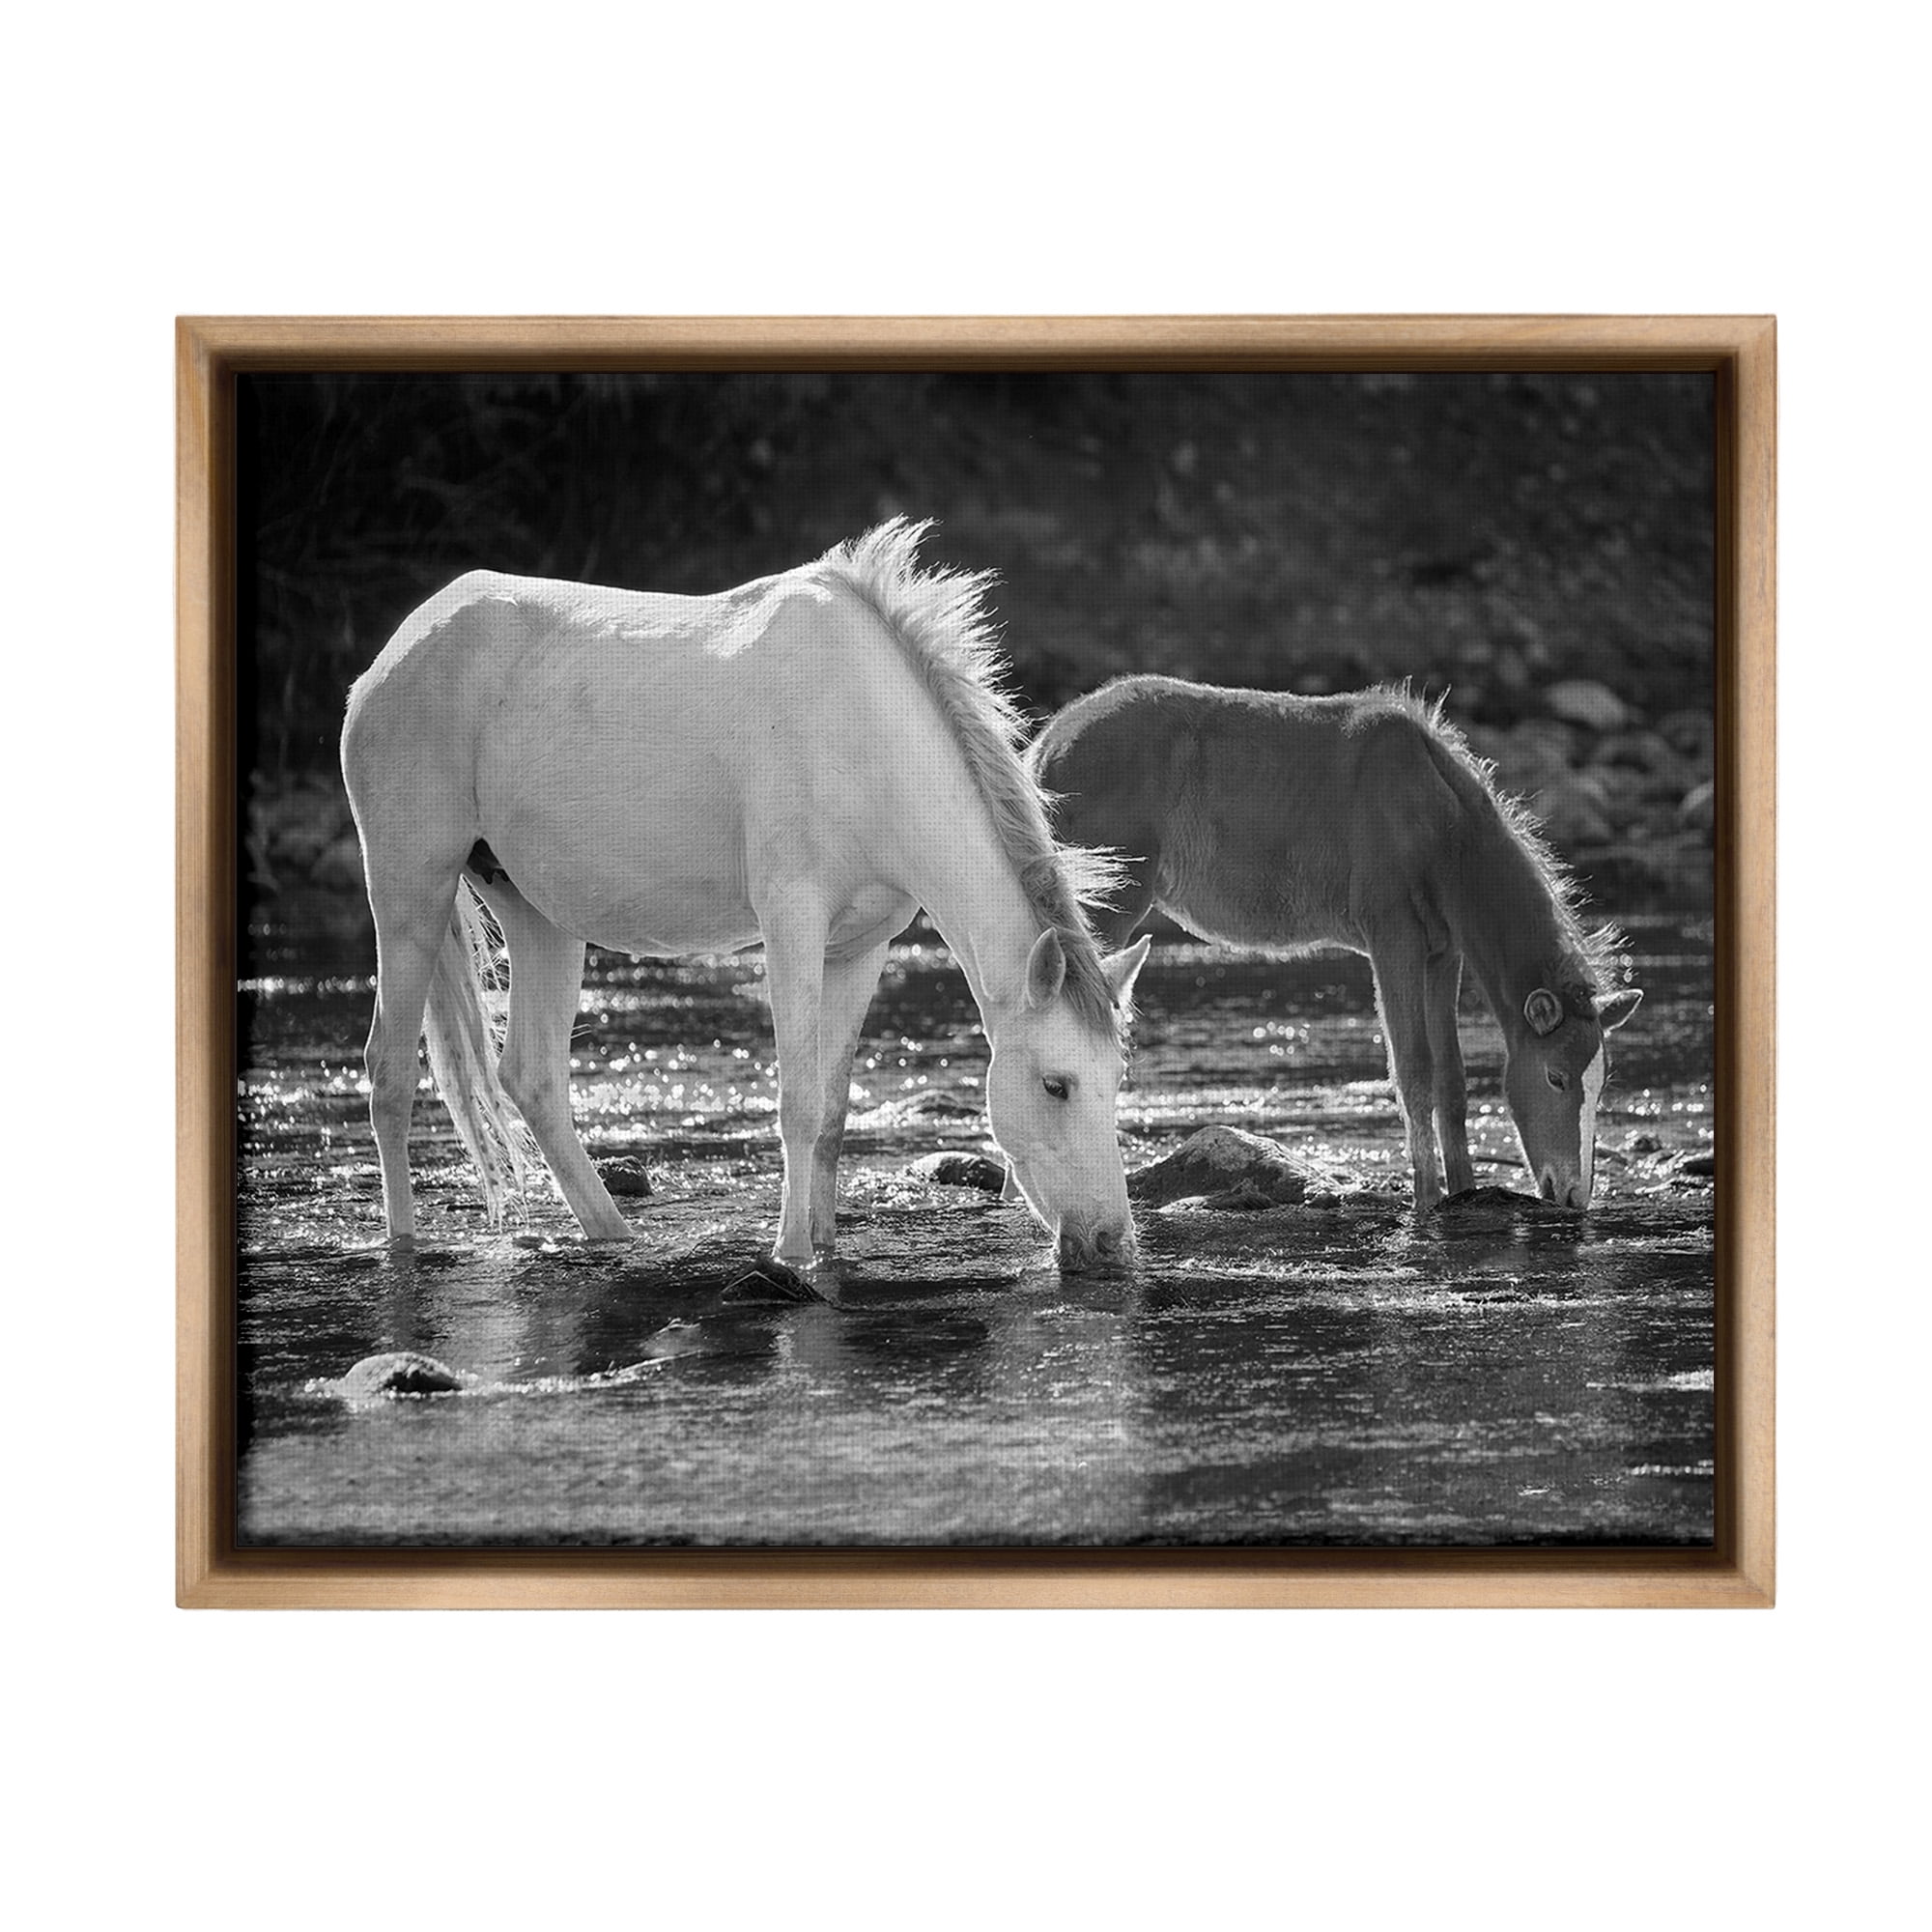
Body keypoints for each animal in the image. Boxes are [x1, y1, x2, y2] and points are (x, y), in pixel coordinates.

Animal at [340, 519, 1151, 1291]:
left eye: (1118, 1079)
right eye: (1056, 1085)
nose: (1111, 1243)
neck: (865, 736)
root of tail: (396, 654)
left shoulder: (860, 948)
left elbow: (832, 1112)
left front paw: (825, 1247)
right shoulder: (791, 923)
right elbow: (797, 1103)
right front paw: (791, 1253)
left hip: (537, 913)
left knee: (532, 1078)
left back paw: (614, 1238)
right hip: (411, 887)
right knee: (390, 1072)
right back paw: (402, 1246)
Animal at [1030, 675, 1641, 1211]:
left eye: (1601, 1083)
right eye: (1556, 1077)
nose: (1573, 1195)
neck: (1439, 823)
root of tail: (1047, 744)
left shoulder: (1443, 954)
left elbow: (1453, 1078)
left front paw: (1464, 1191)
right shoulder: (1393, 939)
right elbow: (1413, 1070)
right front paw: (1426, 1200)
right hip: (1108, 908)